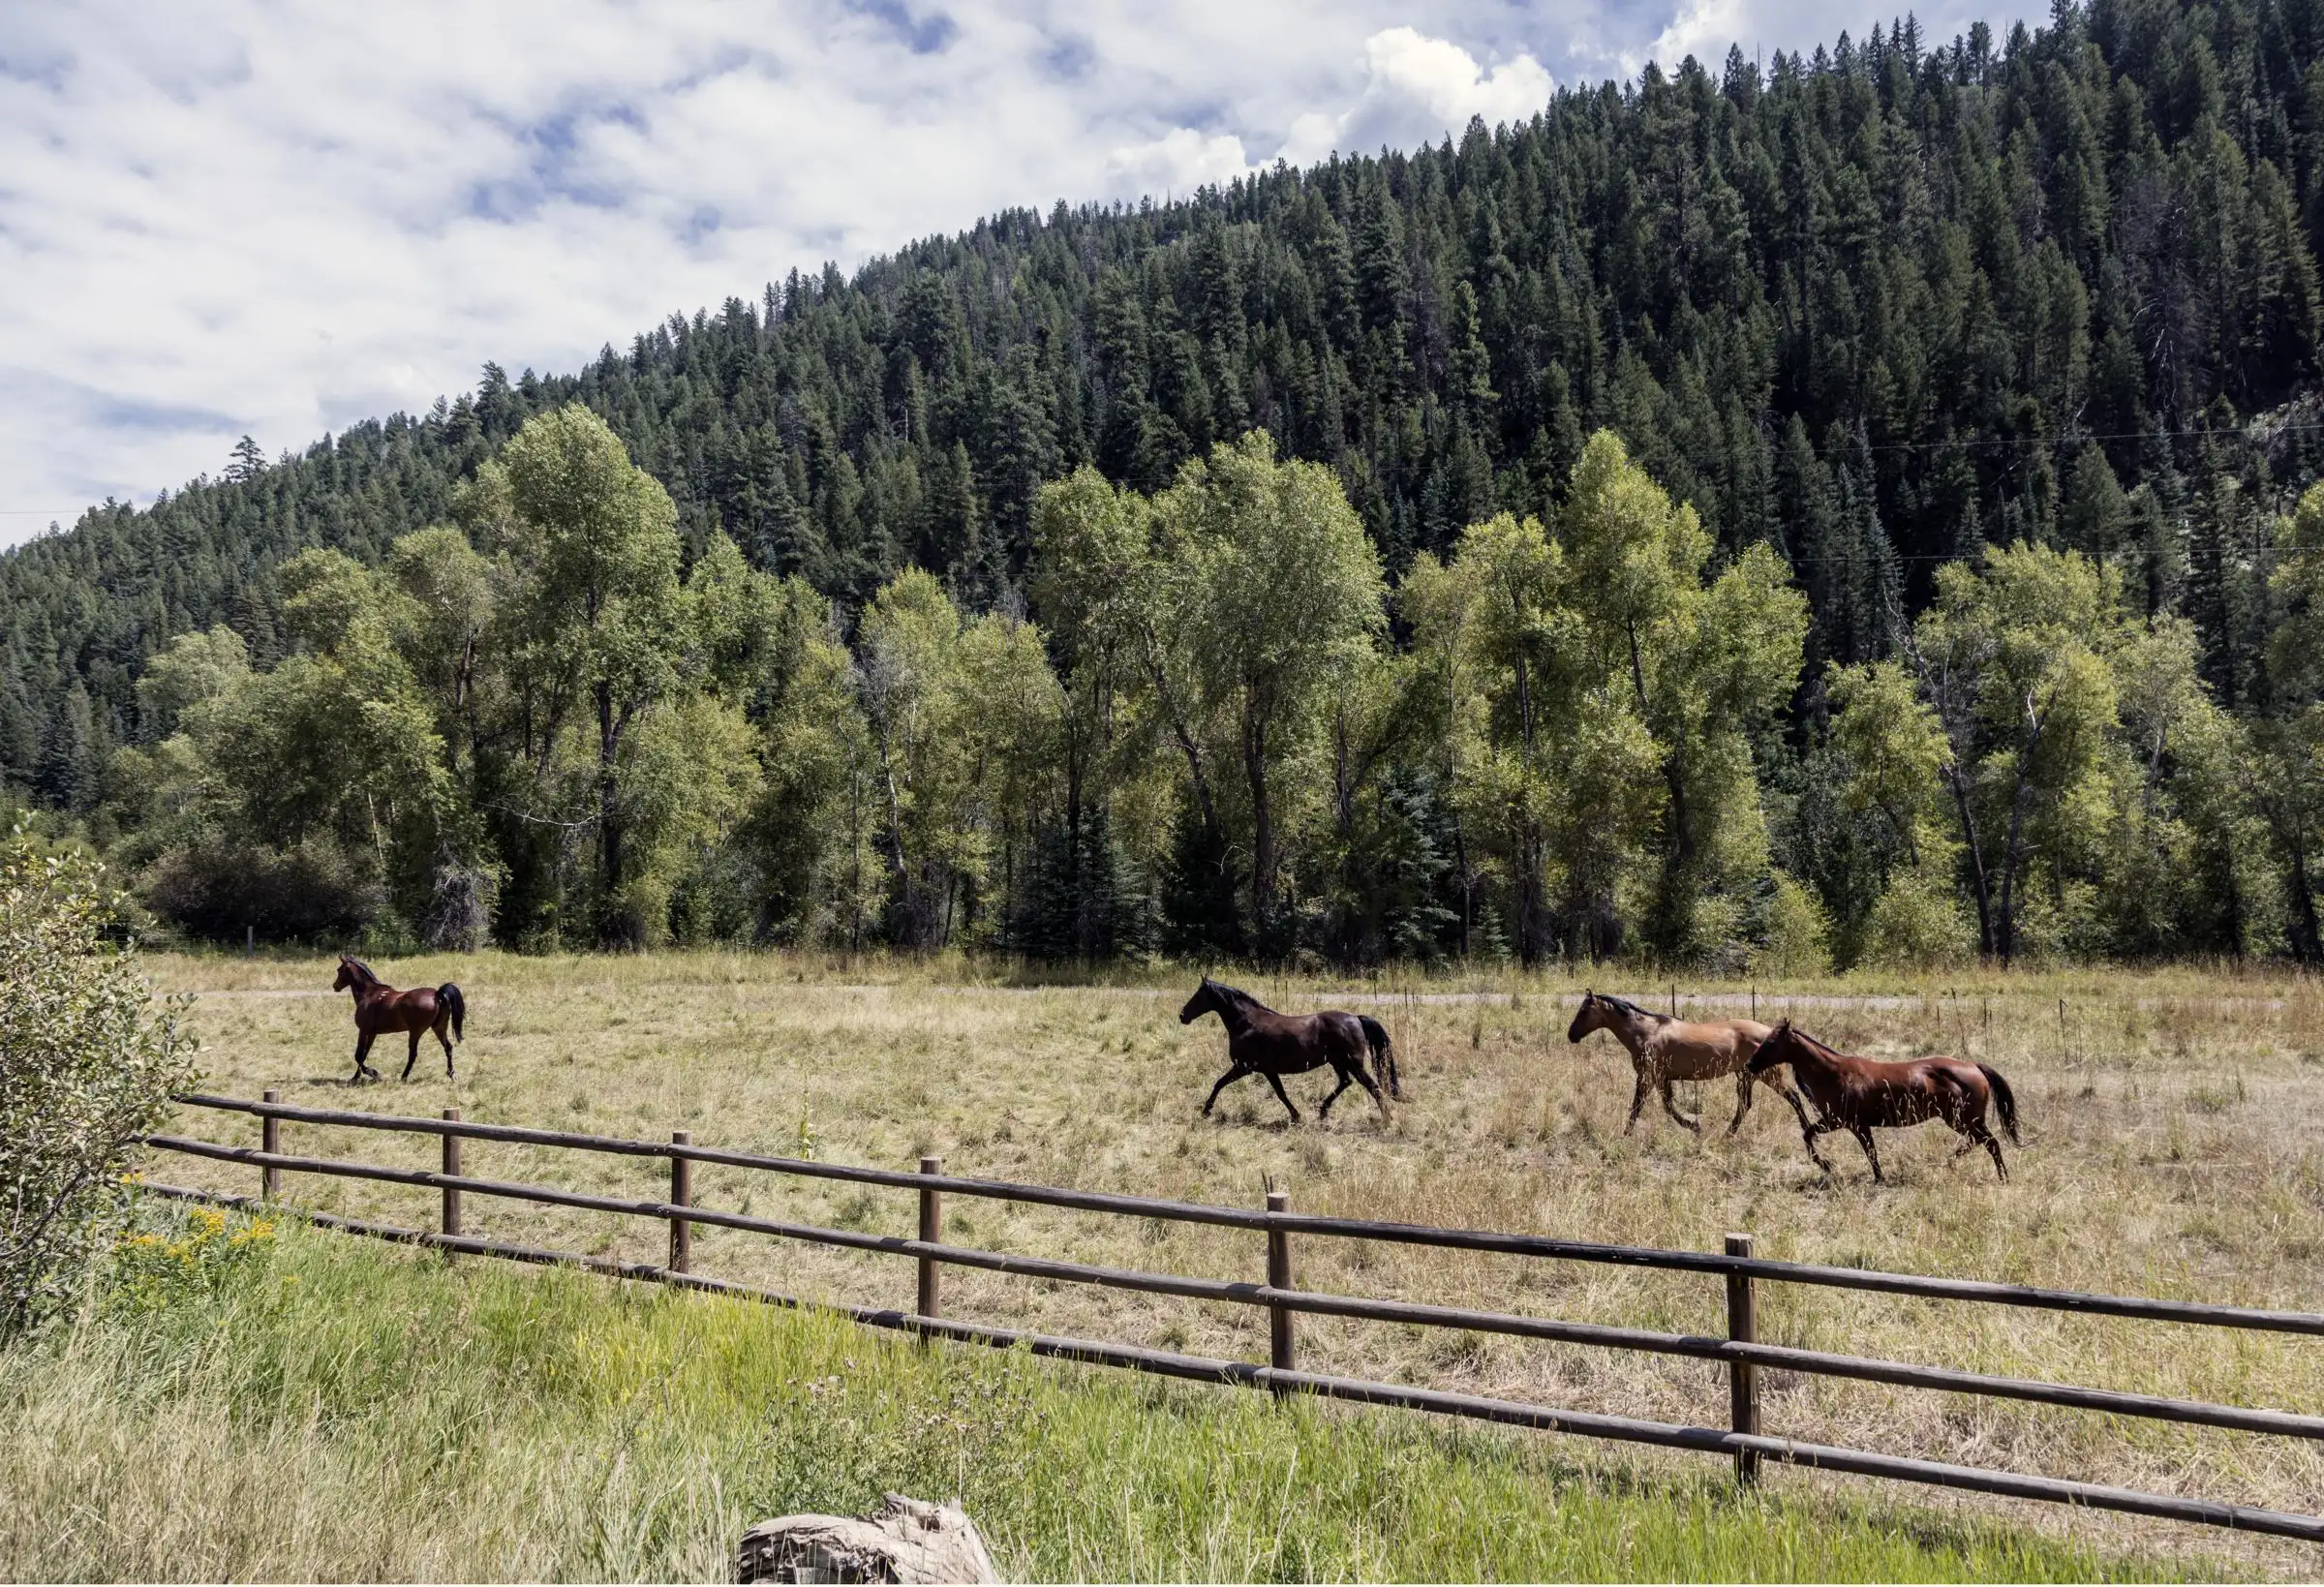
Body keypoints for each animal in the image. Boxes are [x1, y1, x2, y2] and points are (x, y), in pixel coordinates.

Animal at [332, 955, 467, 1084]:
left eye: (339, 970)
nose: (335, 986)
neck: (369, 993)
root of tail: (437, 994)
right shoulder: (372, 1033)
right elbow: (364, 1054)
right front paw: (356, 1077)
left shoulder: (363, 1030)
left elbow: (358, 1055)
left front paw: (374, 1074)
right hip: (439, 1028)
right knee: (448, 1047)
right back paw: (451, 1074)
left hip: (416, 1031)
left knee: (413, 1054)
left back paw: (403, 1077)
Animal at [1179, 977, 1400, 1124]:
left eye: (1199, 995)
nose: (1182, 1016)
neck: (1246, 1023)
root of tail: (1356, 1018)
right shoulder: (1267, 1070)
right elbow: (1281, 1093)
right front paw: (1296, 1116)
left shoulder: (1243, 1067)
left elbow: (1219, 1083)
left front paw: (1206, 1110)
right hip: (1338, 1062)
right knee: (1345, 1082)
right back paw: (1323, 1110)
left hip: (1353, 1063)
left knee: (1373, 1087)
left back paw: (1387, 1118)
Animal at [1566, 991, 1810, 1136]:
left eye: (1584, 1010)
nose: (1571, 1035)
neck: (1647, 1032)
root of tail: (1772, 1034)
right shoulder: (1659, 1077)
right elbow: (1659, 1106)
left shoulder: (1651, 1075)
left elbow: (1647, 1106)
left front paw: (1693, 1127)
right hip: (1746, 1076)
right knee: (1745, 1105)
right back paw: (1728, 1134)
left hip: (1768, 1076)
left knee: (1793, 1098)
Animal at [1748, 1020, 2021, 1183]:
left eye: (1770, 1042)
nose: (1750, 1065)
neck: (1835, 1074)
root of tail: (1973, 1066)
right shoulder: (1838, 1122)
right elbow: (1809, 1134)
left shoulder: (1851, 1123)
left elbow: (1868, 1151)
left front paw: (1829, 1166)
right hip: (1964, 1120)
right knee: (1980, 1142)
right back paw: (1952, 1161)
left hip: (1963, 1119)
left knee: (1991, 1143)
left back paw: (2001, 1177)